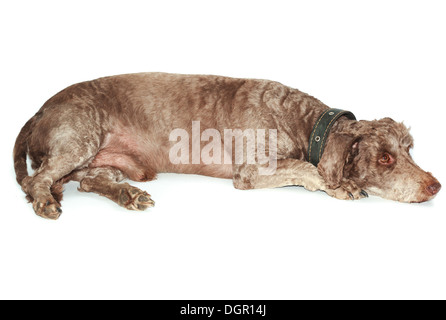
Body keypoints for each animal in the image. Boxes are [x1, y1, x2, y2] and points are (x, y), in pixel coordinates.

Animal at [12, 72, 440, 219]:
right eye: (384, 157)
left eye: (409, 149)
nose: (435, 185)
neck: (304, 122)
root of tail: (40, 109)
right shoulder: (251, 170)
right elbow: (307, 167)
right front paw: (343, 186)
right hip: (79, 137)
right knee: (37, 180)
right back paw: (46, 200)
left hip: (103, 161)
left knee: (88, 181)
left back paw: (129, 195)